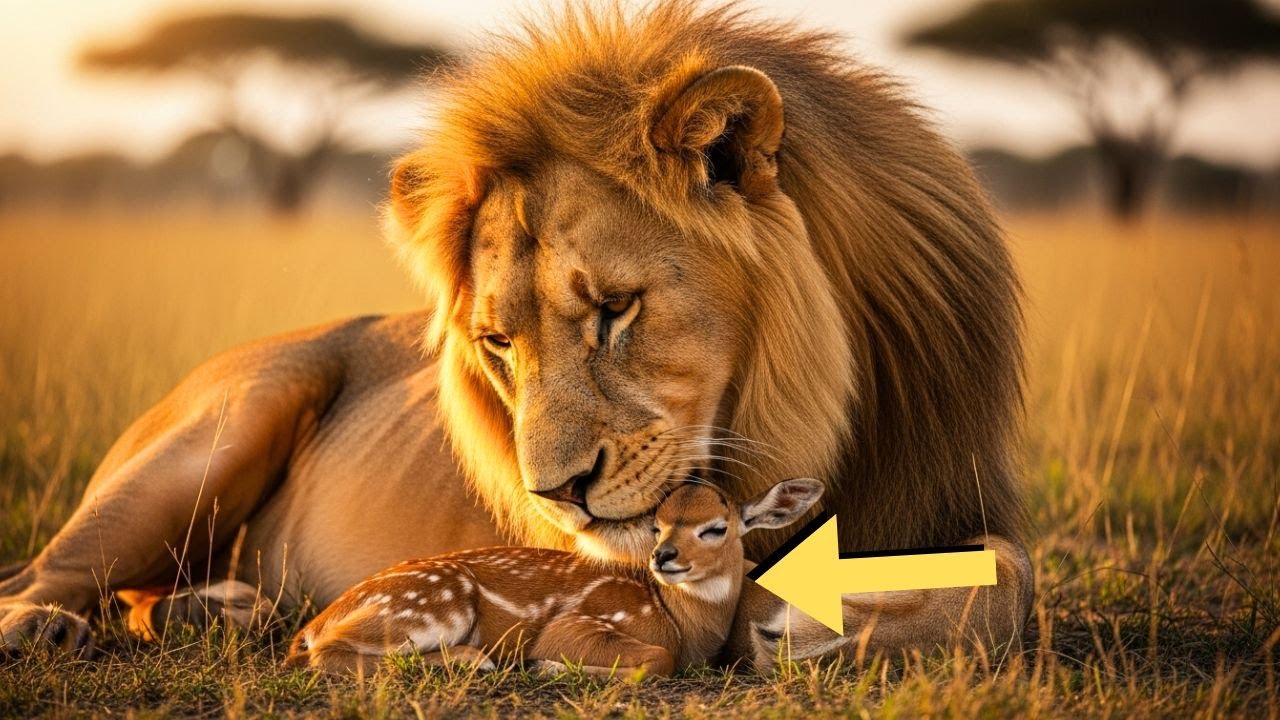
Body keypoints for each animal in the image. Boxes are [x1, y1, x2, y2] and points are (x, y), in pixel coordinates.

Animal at [0, 1, 1032, 667]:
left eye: (616, 307)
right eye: (498, 342)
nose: (557, 496)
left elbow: (1010, 579)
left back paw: (216, 612)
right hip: (230, 420)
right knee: (44, 578)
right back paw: (50, 627)